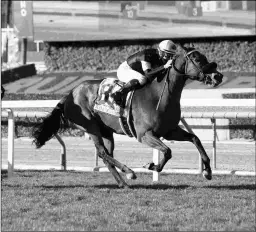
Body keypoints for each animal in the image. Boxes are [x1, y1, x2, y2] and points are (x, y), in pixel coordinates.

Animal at [32, 46, 223, 188]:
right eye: (197, 59)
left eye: (205, 58)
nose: (218, 76)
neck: (159, 96)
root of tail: (70, 94)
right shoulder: (144, 134)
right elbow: (168, 151)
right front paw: (152, 166)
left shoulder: (170, 131)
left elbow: (195, 139)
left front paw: (207, 171)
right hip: (90, 126)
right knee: (102, 152)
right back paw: (129, 172)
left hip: (106, 131)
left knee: (107, 155)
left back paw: (122, 182)